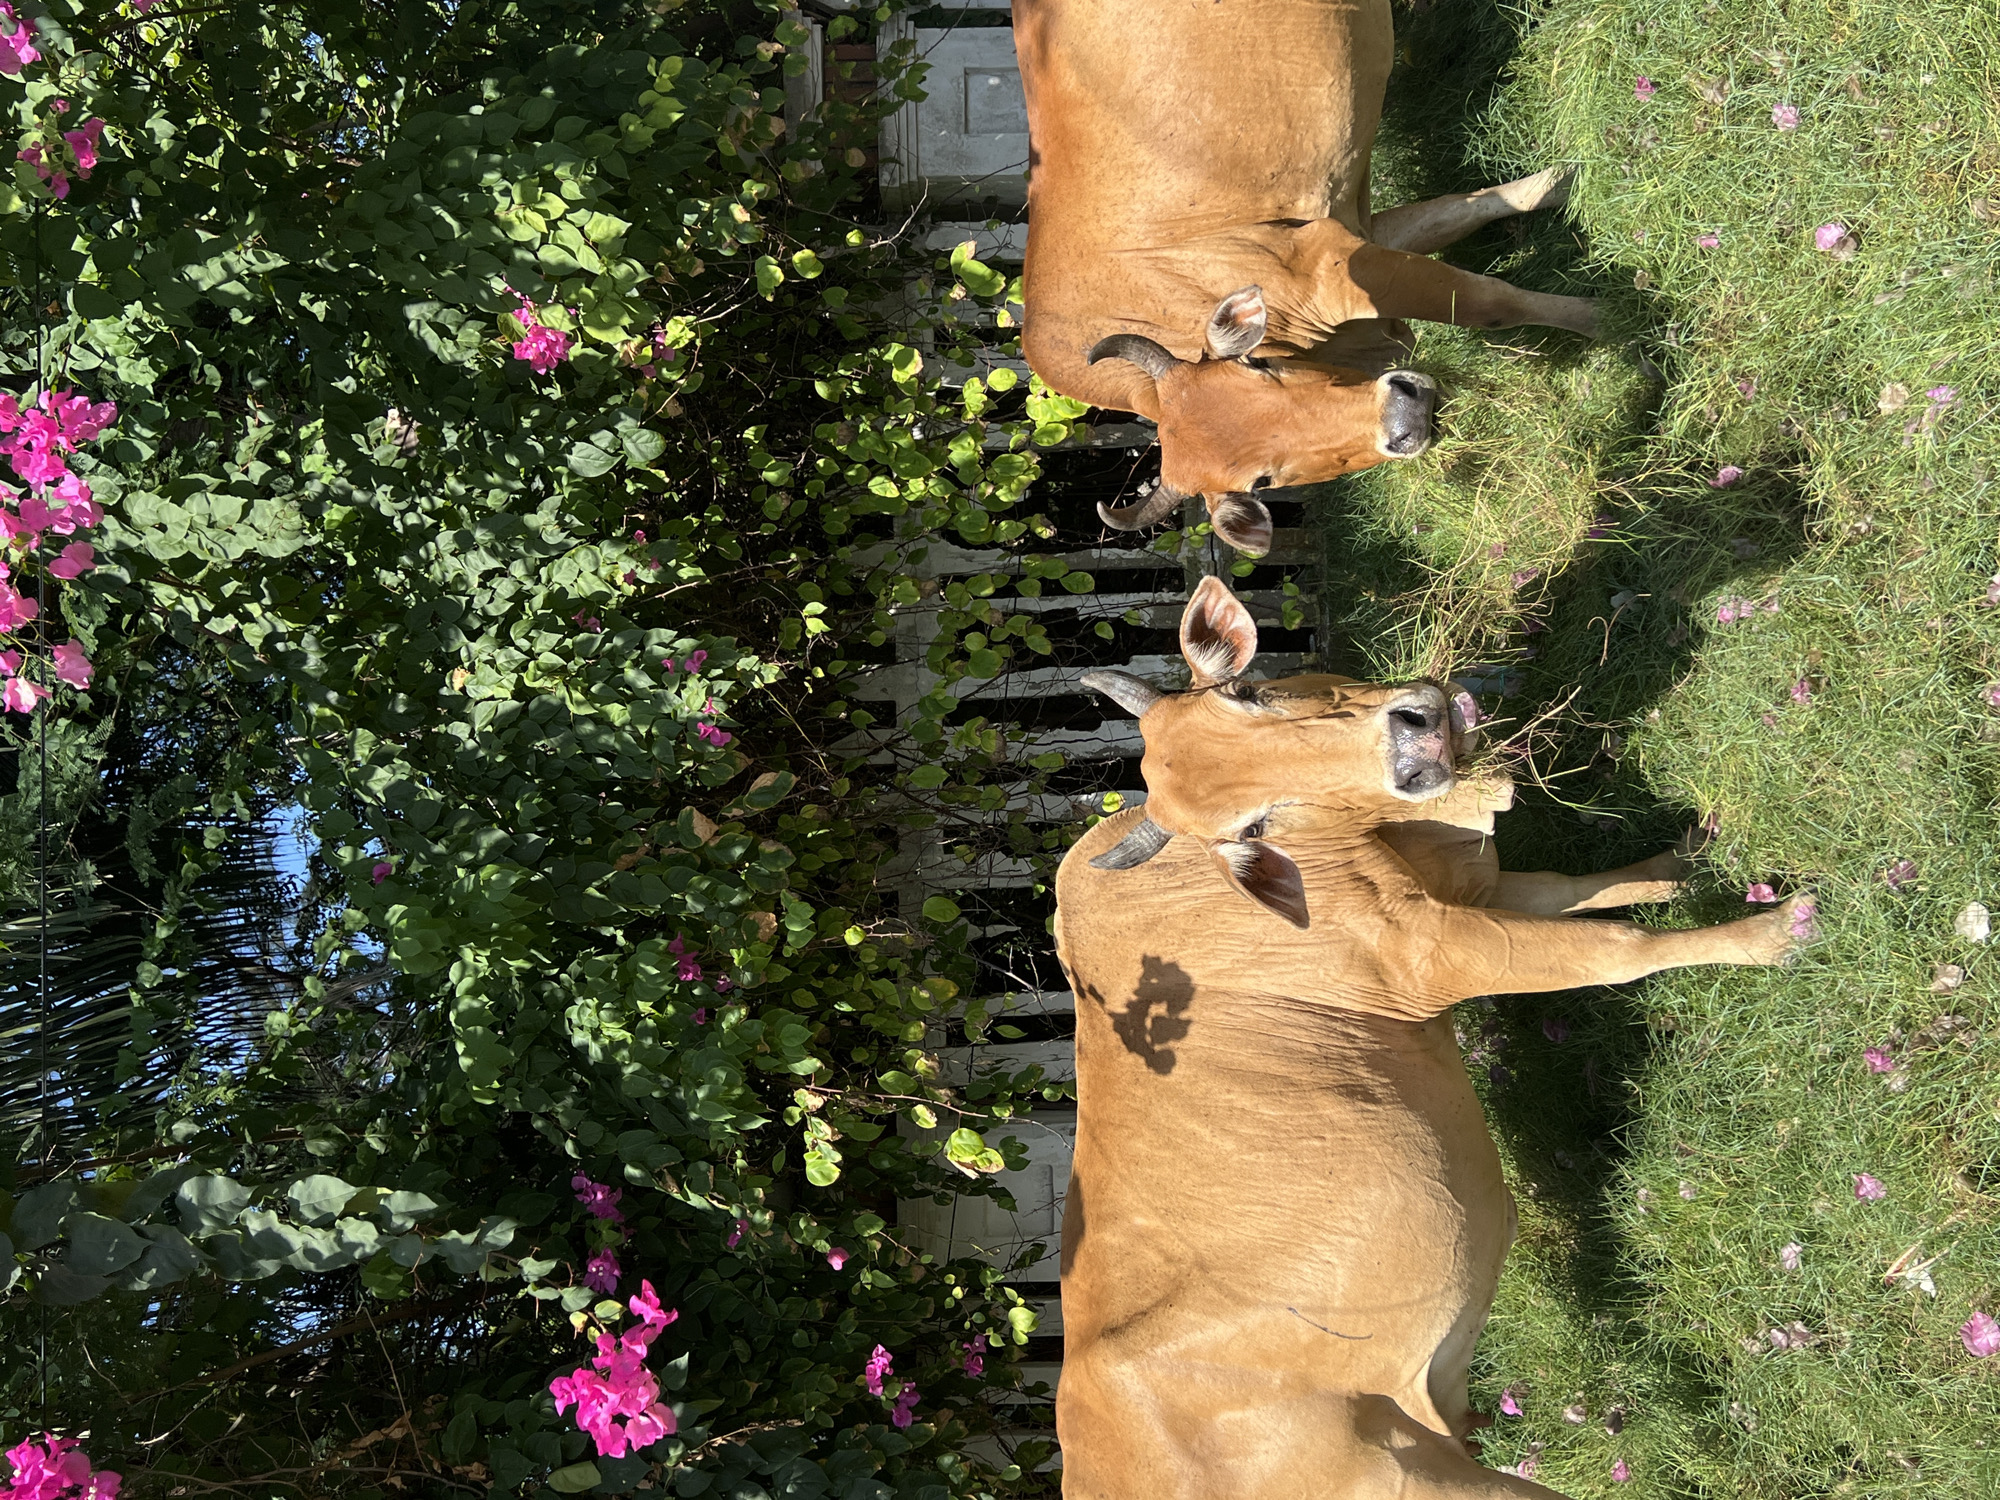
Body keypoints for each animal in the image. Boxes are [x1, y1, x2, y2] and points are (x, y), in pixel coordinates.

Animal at [1014, 0, 1599, 557]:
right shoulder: (1358, 235)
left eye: (1261, 365)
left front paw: (1607, 319)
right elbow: (1463, 212)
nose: (1404, 416)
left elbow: (1489, 299)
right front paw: (1562, 182)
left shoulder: (1330, 264)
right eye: (1263, 482)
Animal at [1049, 576, 1812, 1500]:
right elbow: (1617, 947)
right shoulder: (1442, 954)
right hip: (1430, 1480)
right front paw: (1769, 935)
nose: (1412, 742)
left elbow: (1581, 887)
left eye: (1251, 691)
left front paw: (1682, 857)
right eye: (1254, 827)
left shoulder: (1472, 893)